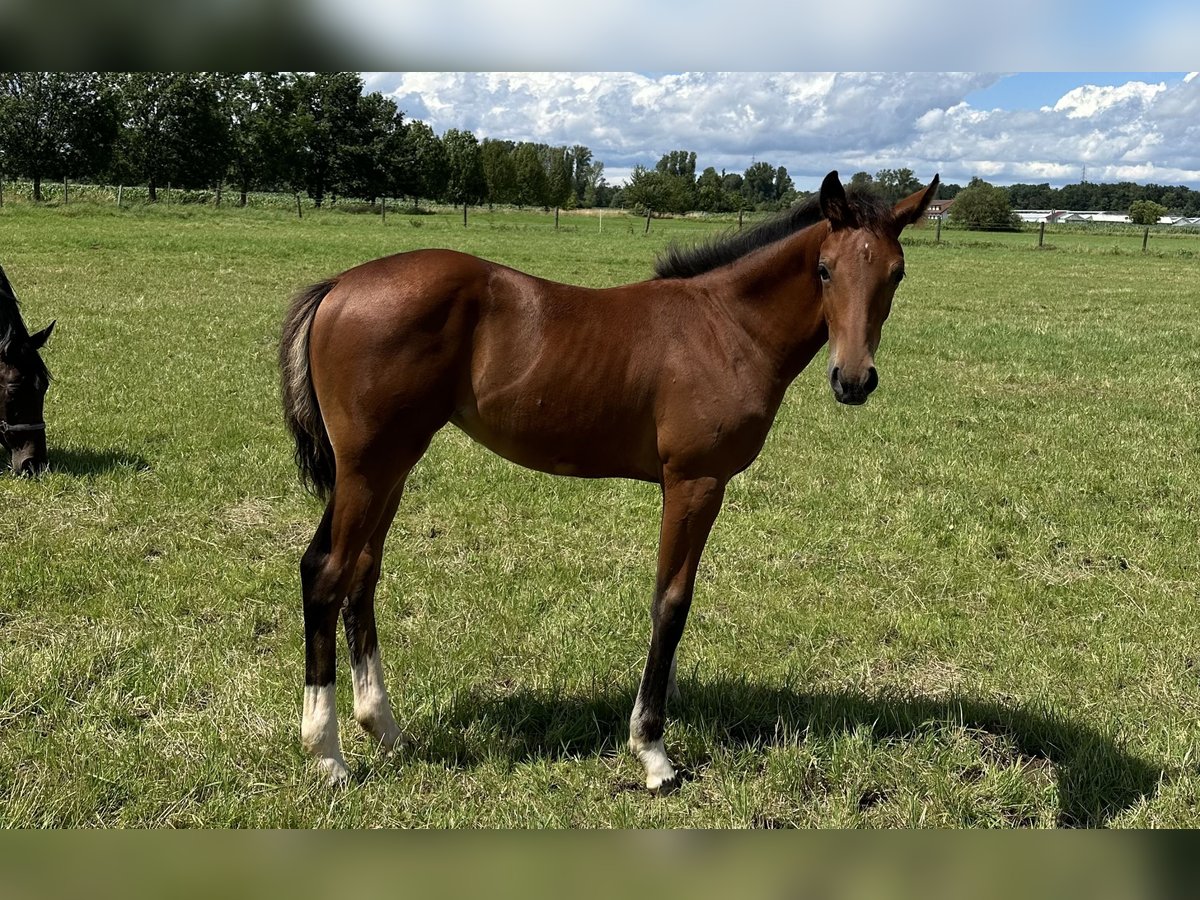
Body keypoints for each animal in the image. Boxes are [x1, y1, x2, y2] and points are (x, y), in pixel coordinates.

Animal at [278, 169, 936, 787]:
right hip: (370, 466)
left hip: (393, 464)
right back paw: (328, 755)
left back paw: (384, 729)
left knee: (362, 574)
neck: (726, 327)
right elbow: (671, 602)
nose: (854, 380)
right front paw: (652, 750)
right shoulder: (695, 483)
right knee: (327, 572)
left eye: (897, 274)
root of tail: (338, 287)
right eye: (824, 270)